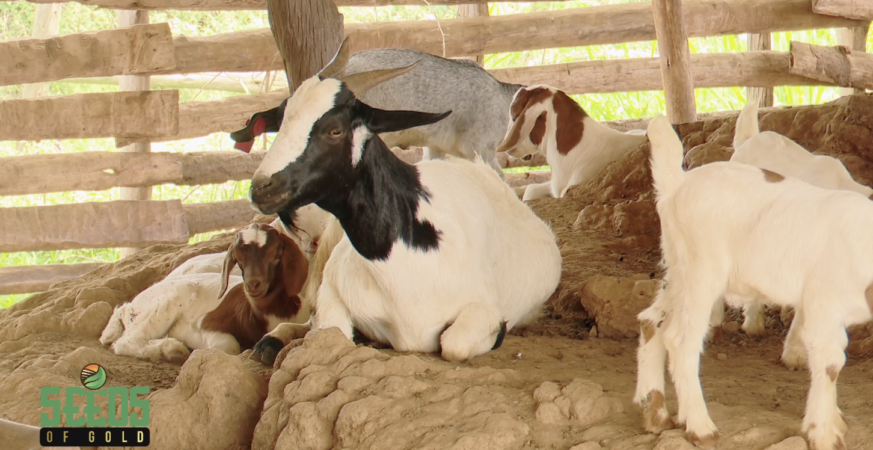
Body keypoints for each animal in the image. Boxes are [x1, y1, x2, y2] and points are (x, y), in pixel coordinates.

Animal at [99, 224, 310, 363]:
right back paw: (172, 349)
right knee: (126, 341)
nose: (253, 284)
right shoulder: (208, 324)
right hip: (162, 306)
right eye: (238, 258)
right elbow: (228, 347)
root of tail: (128, 306)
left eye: (276, 254)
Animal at [635, 115, 872, 450]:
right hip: (701, 270)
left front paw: (833, 420)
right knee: (680, 339)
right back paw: (700, 426)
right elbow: (830, 364)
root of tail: (676, 185)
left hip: (679, 270)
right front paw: (823, 432)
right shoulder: (822, 302)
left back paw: (654, 413)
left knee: (650, 321)